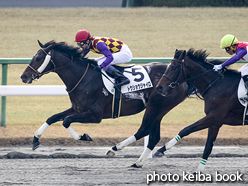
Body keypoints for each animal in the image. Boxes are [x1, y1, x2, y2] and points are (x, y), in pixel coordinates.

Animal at [20, 40, 193, 167]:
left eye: (38, 58)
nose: (23, 76)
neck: (83, 78)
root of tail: (183, 80)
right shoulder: (77, 108)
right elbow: (53, 117)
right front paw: (35, 140)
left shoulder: (95, 115)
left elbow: (66, 121)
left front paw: (84, 136)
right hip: (159, 108)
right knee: (153, 136)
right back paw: (136, 160)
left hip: (157, 106)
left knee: (144, 130)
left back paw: (116, 149)